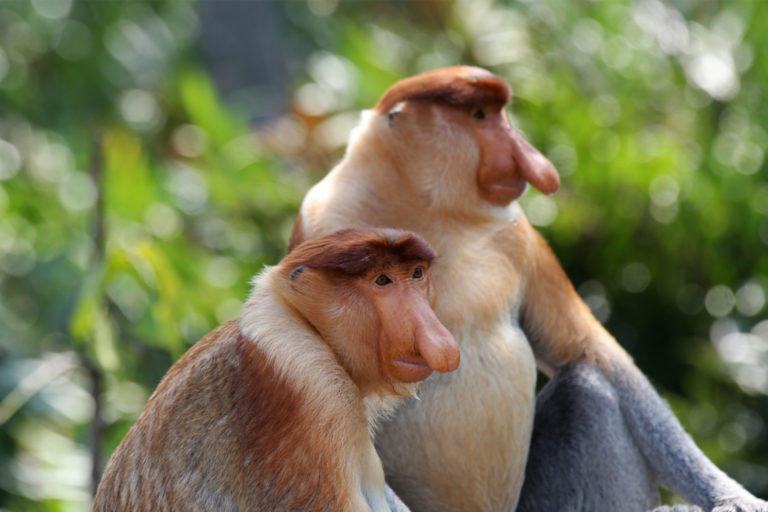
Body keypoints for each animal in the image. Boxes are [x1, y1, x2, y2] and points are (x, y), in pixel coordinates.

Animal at [290, 67, 768, 512]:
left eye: (500, 114)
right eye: (480, 116)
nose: (532, 160)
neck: (424, 216)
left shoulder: (518, 237)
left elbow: (594, 352)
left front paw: (732, 496)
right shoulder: (319, 226)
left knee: (588, 390)